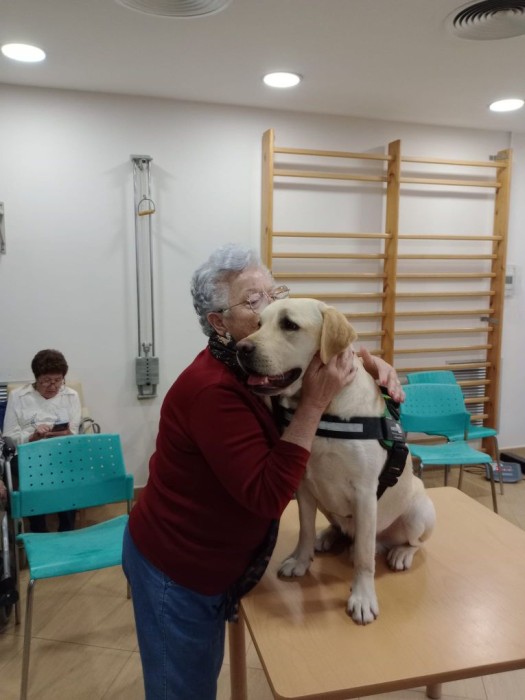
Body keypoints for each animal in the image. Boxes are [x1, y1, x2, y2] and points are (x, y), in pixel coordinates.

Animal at [236, 298, 436, 625]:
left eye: (289, 324)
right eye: (258, 324)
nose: (241, 348)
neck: (325, 410)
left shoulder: (365, 494)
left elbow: (364, 558)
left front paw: (363, 598)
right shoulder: (304, 486)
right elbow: (304, 529)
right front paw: (300, 561)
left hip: (419, 512)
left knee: (408, 543)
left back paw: (400, 553)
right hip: (328, 504)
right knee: (344, 530)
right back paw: (329, 536)